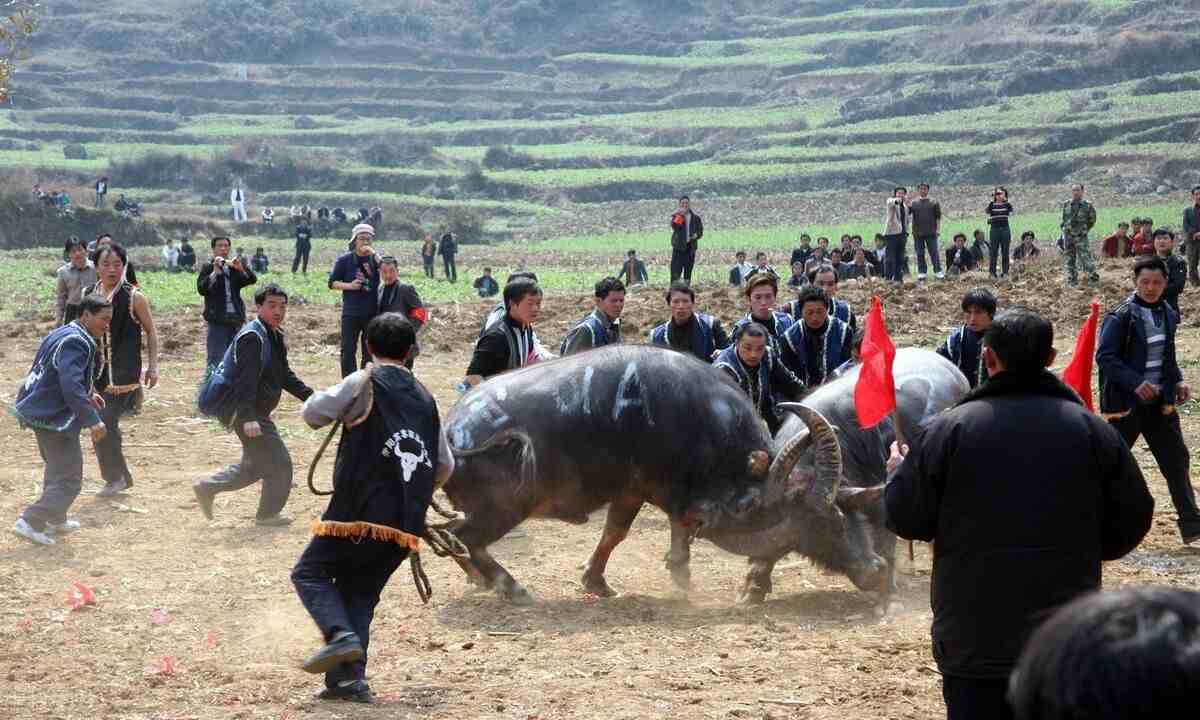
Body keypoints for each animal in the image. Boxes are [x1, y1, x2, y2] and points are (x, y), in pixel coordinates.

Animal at [441, 343, 777, 602]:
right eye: (749, 504)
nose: (761, 548)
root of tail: (451, 430)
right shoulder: (662, 489)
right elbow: (672, 527)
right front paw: (681, 576)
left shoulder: (632, 492)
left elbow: (615, 533)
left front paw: (598, 582)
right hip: (501, 509)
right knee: (462, 537)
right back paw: (510, 587)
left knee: (450, 536)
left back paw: (481, 580)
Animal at [700, 348, 969, 607]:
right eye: (805, 546)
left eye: (839, 521)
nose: (871, 574)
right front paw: (753, 589)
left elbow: (886, 541)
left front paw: (889, 597)